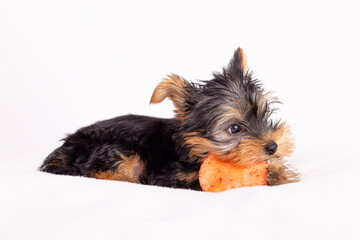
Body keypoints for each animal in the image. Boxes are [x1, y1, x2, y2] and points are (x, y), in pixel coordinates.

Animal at [39, 47, 300, 190]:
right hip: (117, 148)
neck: (194, 148)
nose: (272, 146)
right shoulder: (171, 175)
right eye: (234, 128)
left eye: (265, 115)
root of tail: (64, 148)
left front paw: (278, 171)